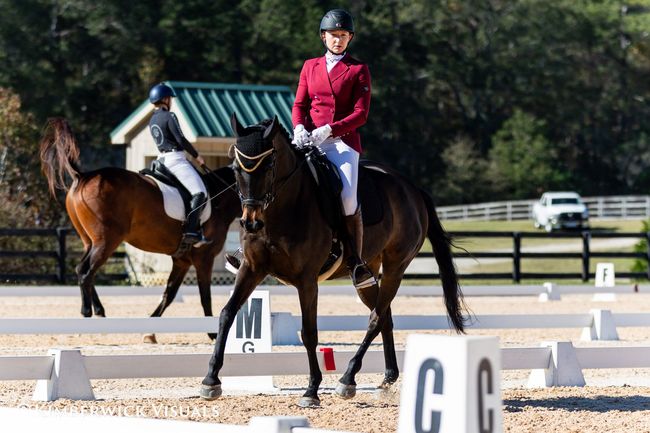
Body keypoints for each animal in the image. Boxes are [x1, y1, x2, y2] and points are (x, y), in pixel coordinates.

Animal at [38, 116, 240, 330]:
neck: (219, 197)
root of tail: (83, 176)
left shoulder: (182, 260)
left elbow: (169, 295)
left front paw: (151, 327)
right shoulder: (204, 258)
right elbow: (205, 298)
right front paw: (212, 332)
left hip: (89, 241)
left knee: (83, 271)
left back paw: (99, 311)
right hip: (107, 241)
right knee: (86, 273)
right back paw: (87, 312)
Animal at [200, 114, 464, 404]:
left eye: (269, 166)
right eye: (236, 168)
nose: (250, 223)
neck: (283, 209)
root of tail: (412, 189)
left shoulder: (307, 281)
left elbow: (309, 332)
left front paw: (312, 390)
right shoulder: (251, 268)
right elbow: (227, 314)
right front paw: (211, 380)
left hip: (396, 267)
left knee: (375, 318)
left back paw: (347, 378)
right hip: (367, 272)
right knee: (384, 315)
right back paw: (387, 378)